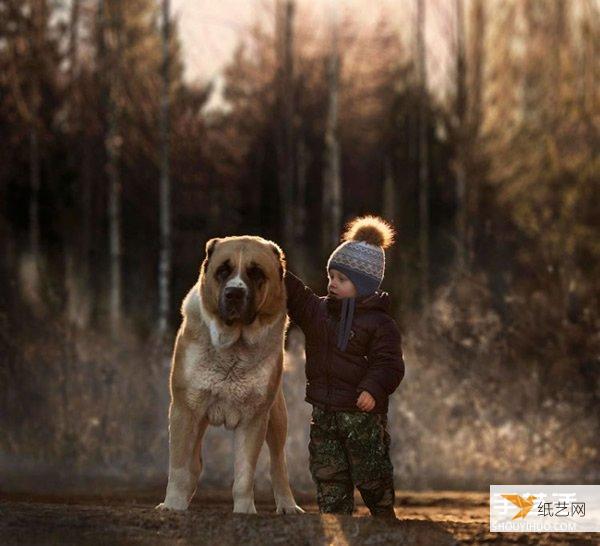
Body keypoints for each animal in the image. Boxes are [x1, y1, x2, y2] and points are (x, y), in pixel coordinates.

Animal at [157, 236, 302, 512]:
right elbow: (179, 467)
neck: (234, 347)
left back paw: (288, 505)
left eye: (256, 272)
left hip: (277, 418)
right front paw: (173, 505)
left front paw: (245, 511)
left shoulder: (254, 419)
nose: (234, 293)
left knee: (279, 464)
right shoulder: (184, 410)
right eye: (223, 271)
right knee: (193, 464)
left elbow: (244, 474)